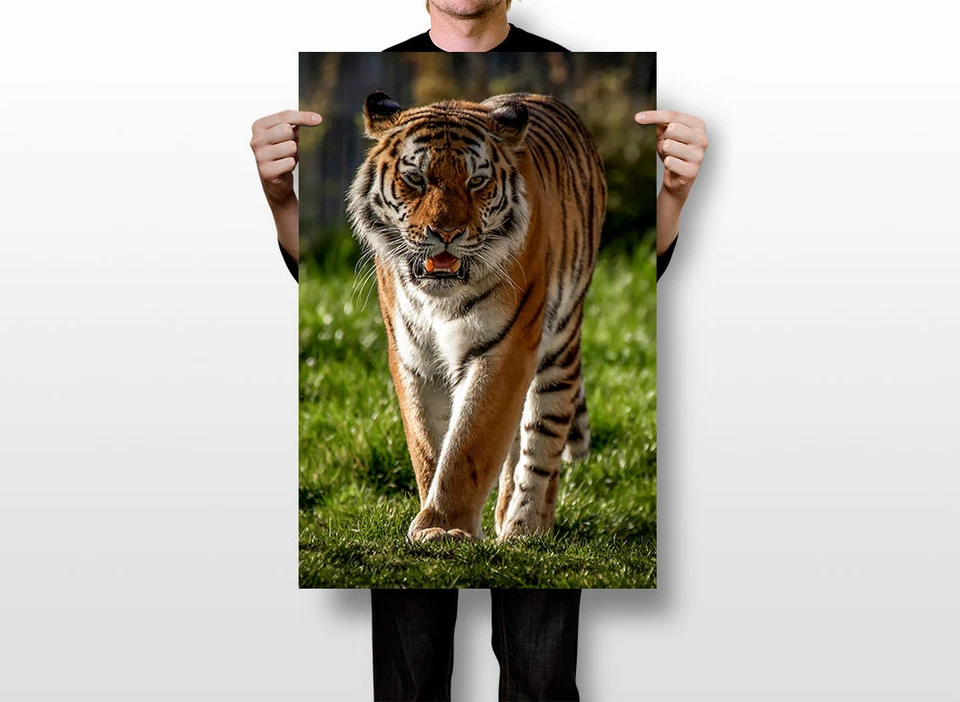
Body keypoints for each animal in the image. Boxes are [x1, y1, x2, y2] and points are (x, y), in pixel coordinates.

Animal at [346, 90, 606, 542]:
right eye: (416, 179)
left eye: (476, 182)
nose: (445, 233)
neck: (440, 300)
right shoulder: (412, 357)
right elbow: (428, 442)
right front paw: (434, 520)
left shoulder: (505, 347)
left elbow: (471, 441)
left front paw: (444, 527)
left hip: (559, 347)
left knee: (543, 438)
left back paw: (524, 528)